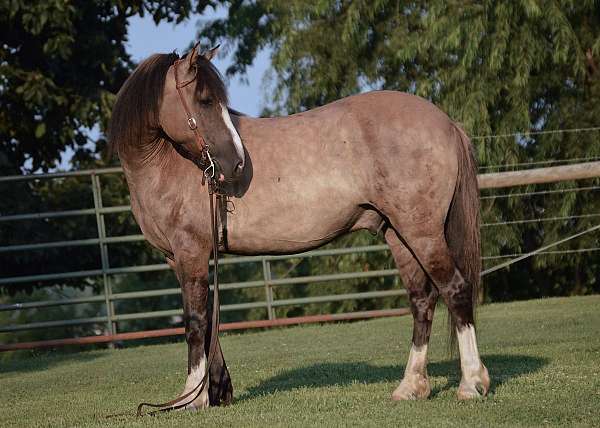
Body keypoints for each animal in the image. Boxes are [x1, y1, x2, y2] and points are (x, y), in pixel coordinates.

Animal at [110, 45, 490, 410]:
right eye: (204, 100)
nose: (236, 164)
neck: (167, 162)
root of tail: (446, 123)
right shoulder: (181, 258)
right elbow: (208, 321)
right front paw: (215, 391)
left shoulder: (191, 252)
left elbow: (195, 323)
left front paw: (193, 397)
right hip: (399, 236)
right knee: (422, 300)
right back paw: (410, 387)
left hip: (422, 233)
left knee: (455, 289)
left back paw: (471, 383)